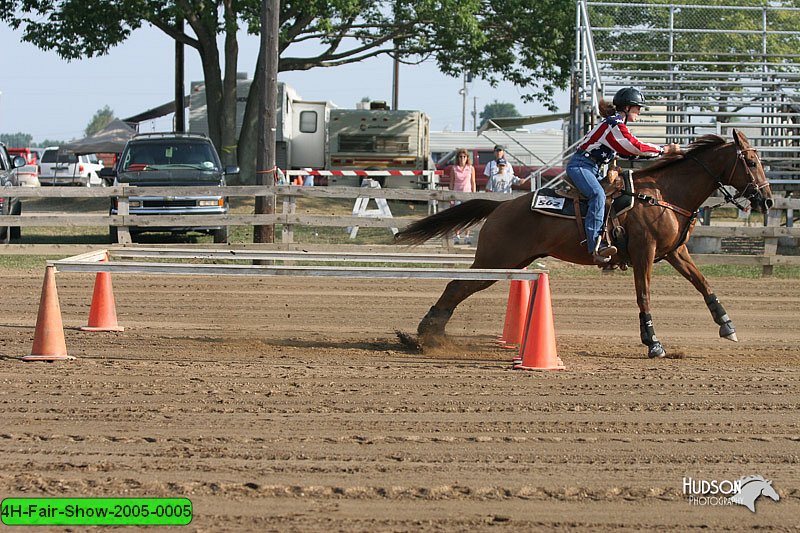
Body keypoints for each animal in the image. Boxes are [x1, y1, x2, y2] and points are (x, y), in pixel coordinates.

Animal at [396, 130, 772, 358]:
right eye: (751, 161)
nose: (766, 200)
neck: (662, 194)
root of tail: (501, 206)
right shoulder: (645, 254)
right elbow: (644, 296)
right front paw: (653, 343)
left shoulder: (674, 252)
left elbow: (703, 283)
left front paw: (727, 325)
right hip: (496, 259)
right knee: (457, 285)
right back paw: (425, 334)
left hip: (510, 262)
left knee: (459, 286)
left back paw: (427, 334)